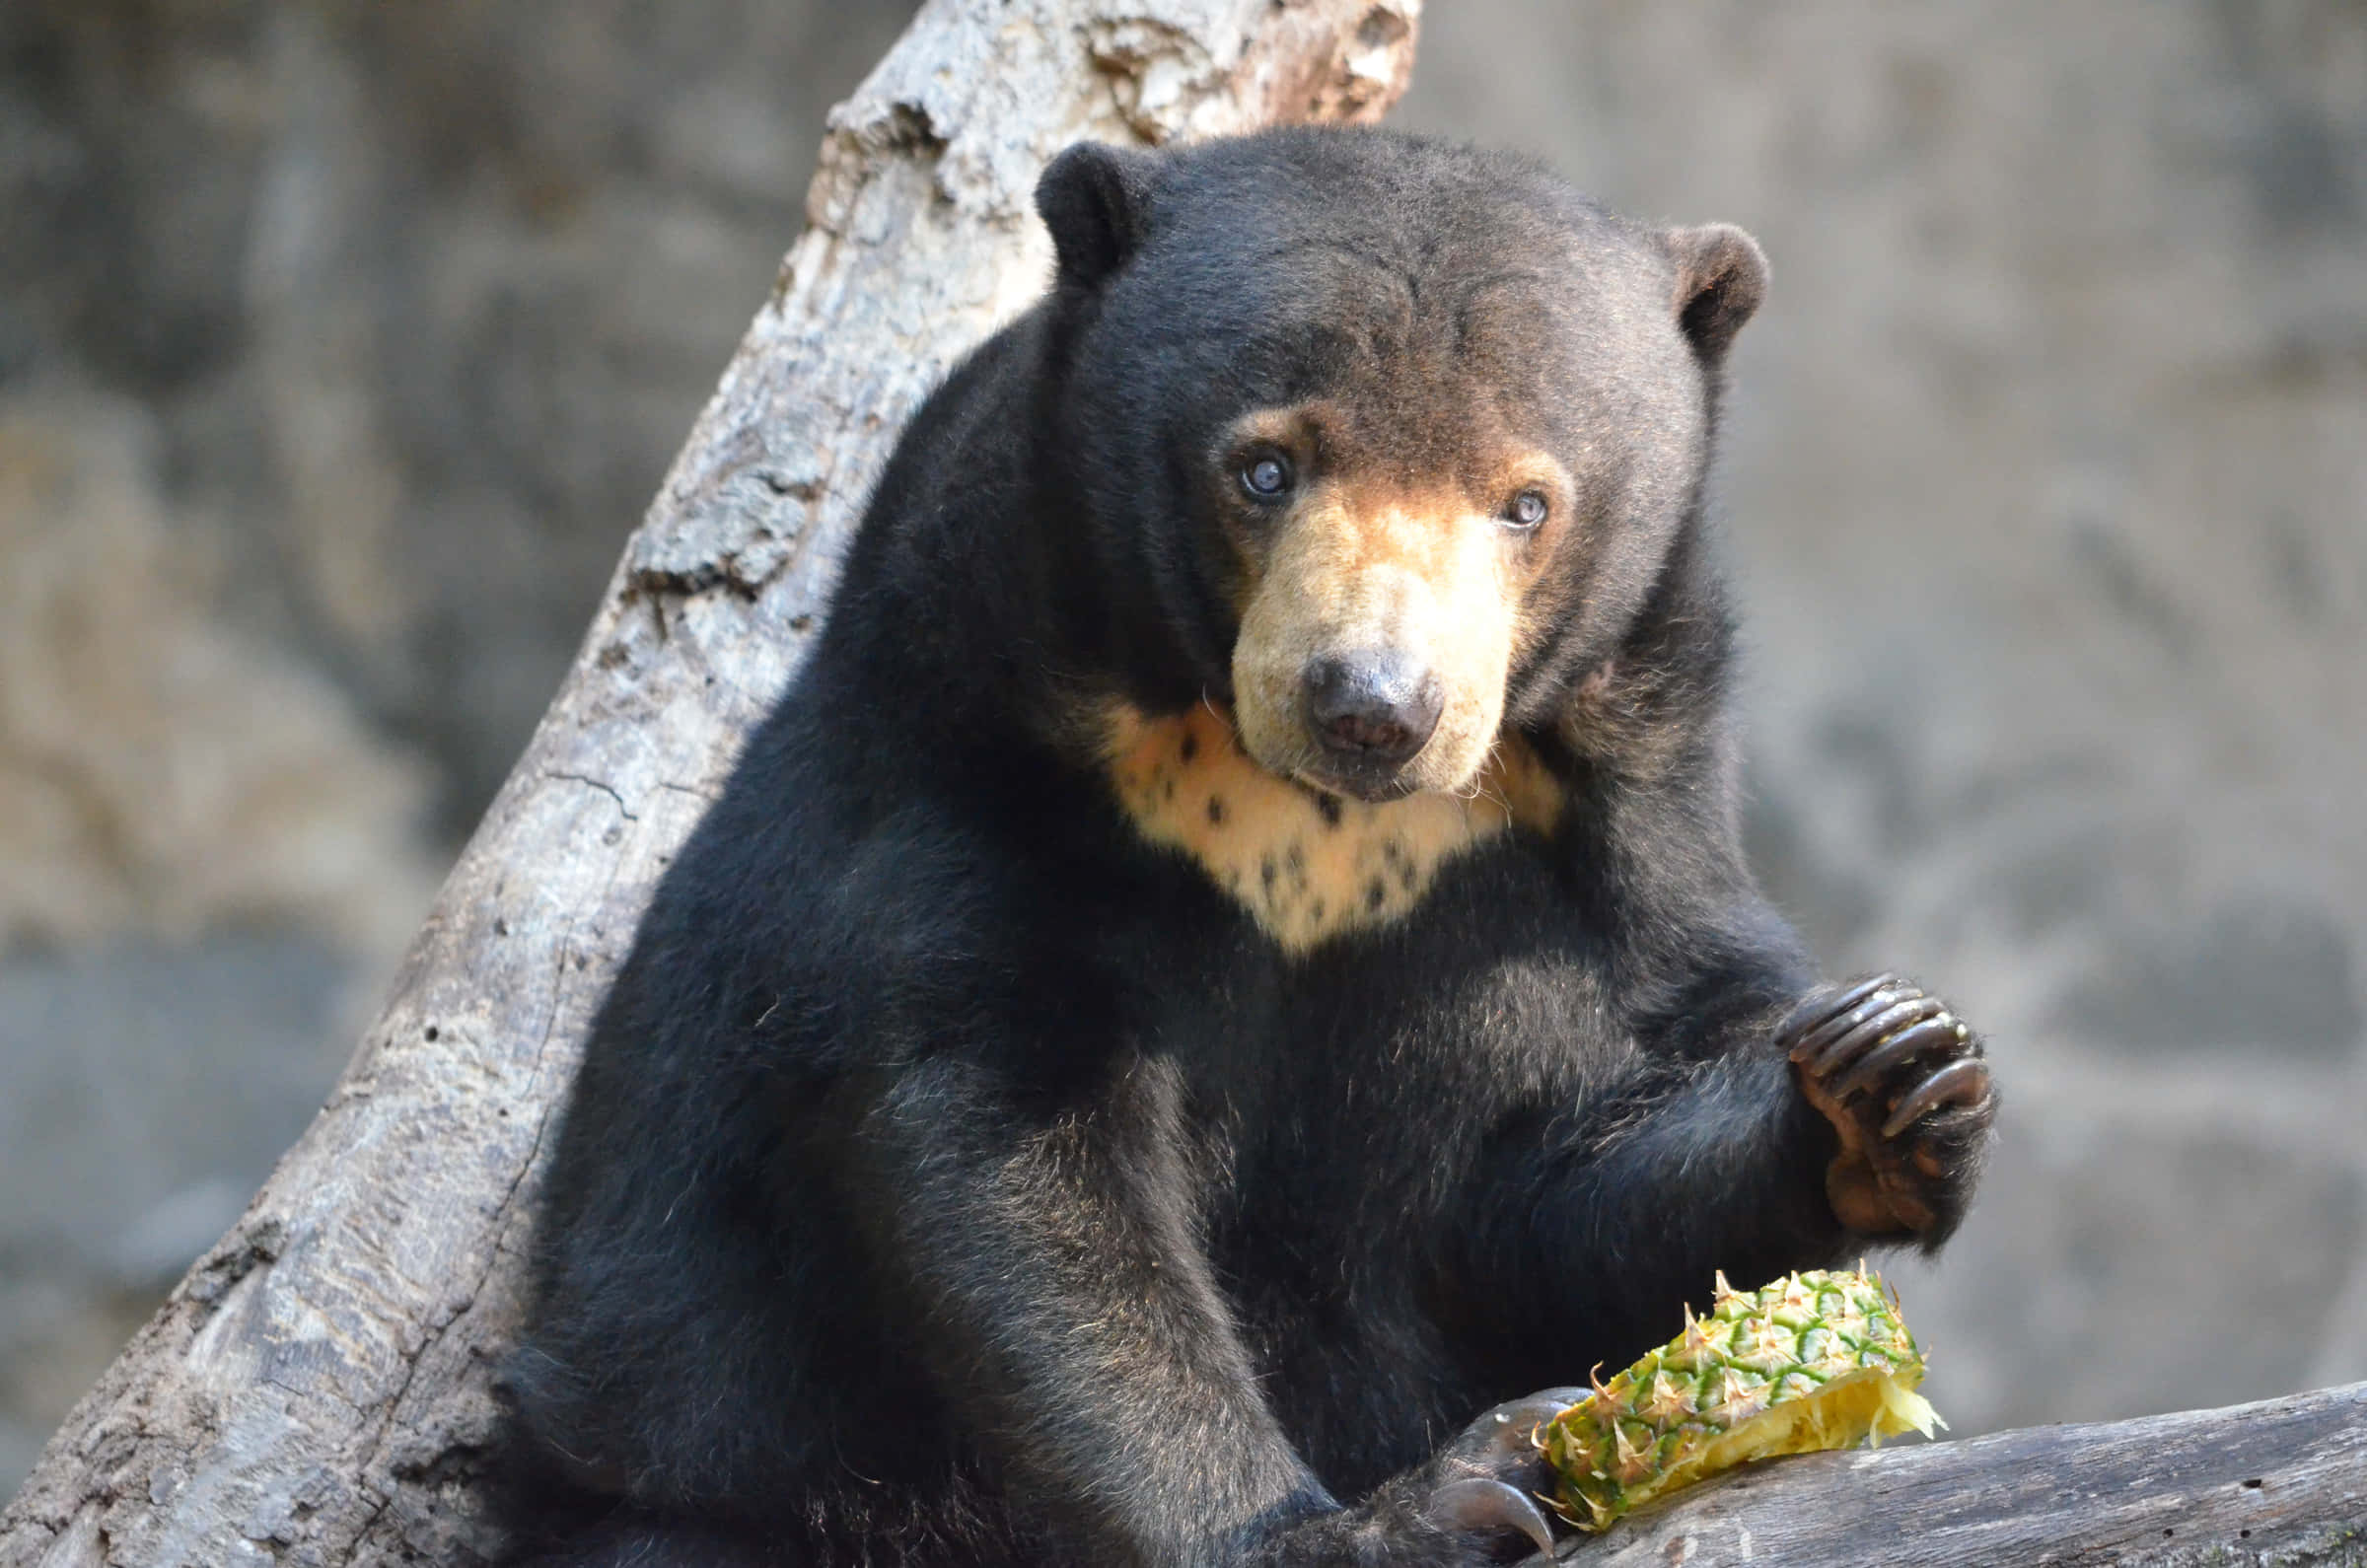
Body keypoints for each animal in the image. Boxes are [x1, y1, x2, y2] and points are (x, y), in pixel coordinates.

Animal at [498, 126, 1997, 1568]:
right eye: (1264, 466)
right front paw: (1399, 1514)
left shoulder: (1603, 834)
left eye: (1527, 502)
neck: (1310, 822)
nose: (1374, 706)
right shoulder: (969, 780)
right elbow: (1012, 1162)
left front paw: (1891, 1075)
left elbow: (1558, 1166)